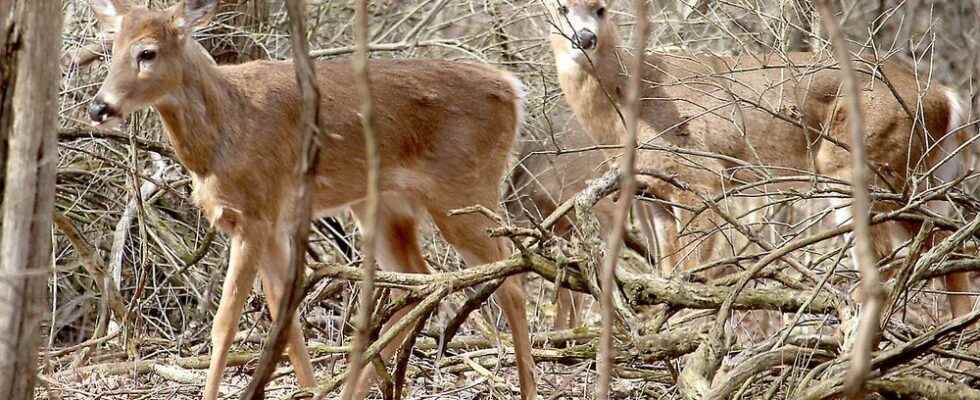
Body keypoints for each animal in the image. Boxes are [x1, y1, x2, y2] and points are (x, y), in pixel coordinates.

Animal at [86, 0, 536, 400]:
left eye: (147, 52)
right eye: (110, 47)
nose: (99, 107)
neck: (225, 129)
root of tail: (513, 88)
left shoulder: (257, 214)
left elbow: (225, 323)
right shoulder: (270, 226)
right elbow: (286, 322)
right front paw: (309, 389)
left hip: (465, 189)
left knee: (513, 281)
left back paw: (528, 388)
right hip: (386, 207)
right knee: (417, 286)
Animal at [548, 0, 976, 324]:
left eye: (601, 8)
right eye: (561, 7)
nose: (585, 38)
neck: (628, 106)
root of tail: (946, 96)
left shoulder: (703, 178)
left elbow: (692, 272)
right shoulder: (654, 195)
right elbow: (668, 271)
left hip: (862, 165)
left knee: (888, 257)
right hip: (918, 175)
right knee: (947, 245)